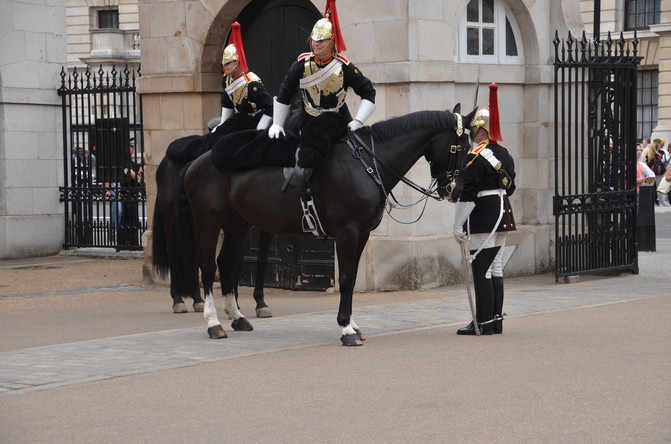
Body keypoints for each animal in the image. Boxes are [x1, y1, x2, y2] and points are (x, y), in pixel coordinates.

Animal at [171, 106, 476, 346]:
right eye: (461, 148)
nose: (456, 190)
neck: (366, 164)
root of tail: (198, 160)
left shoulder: (362, 235)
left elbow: (352, 277)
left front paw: (352, 324)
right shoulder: (346, 233)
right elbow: (345, 279)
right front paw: (346, 328)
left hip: (238, 224)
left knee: (226, 264)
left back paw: (236, 316)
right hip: (209, 223)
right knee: (208, 267)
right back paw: (213, 323)